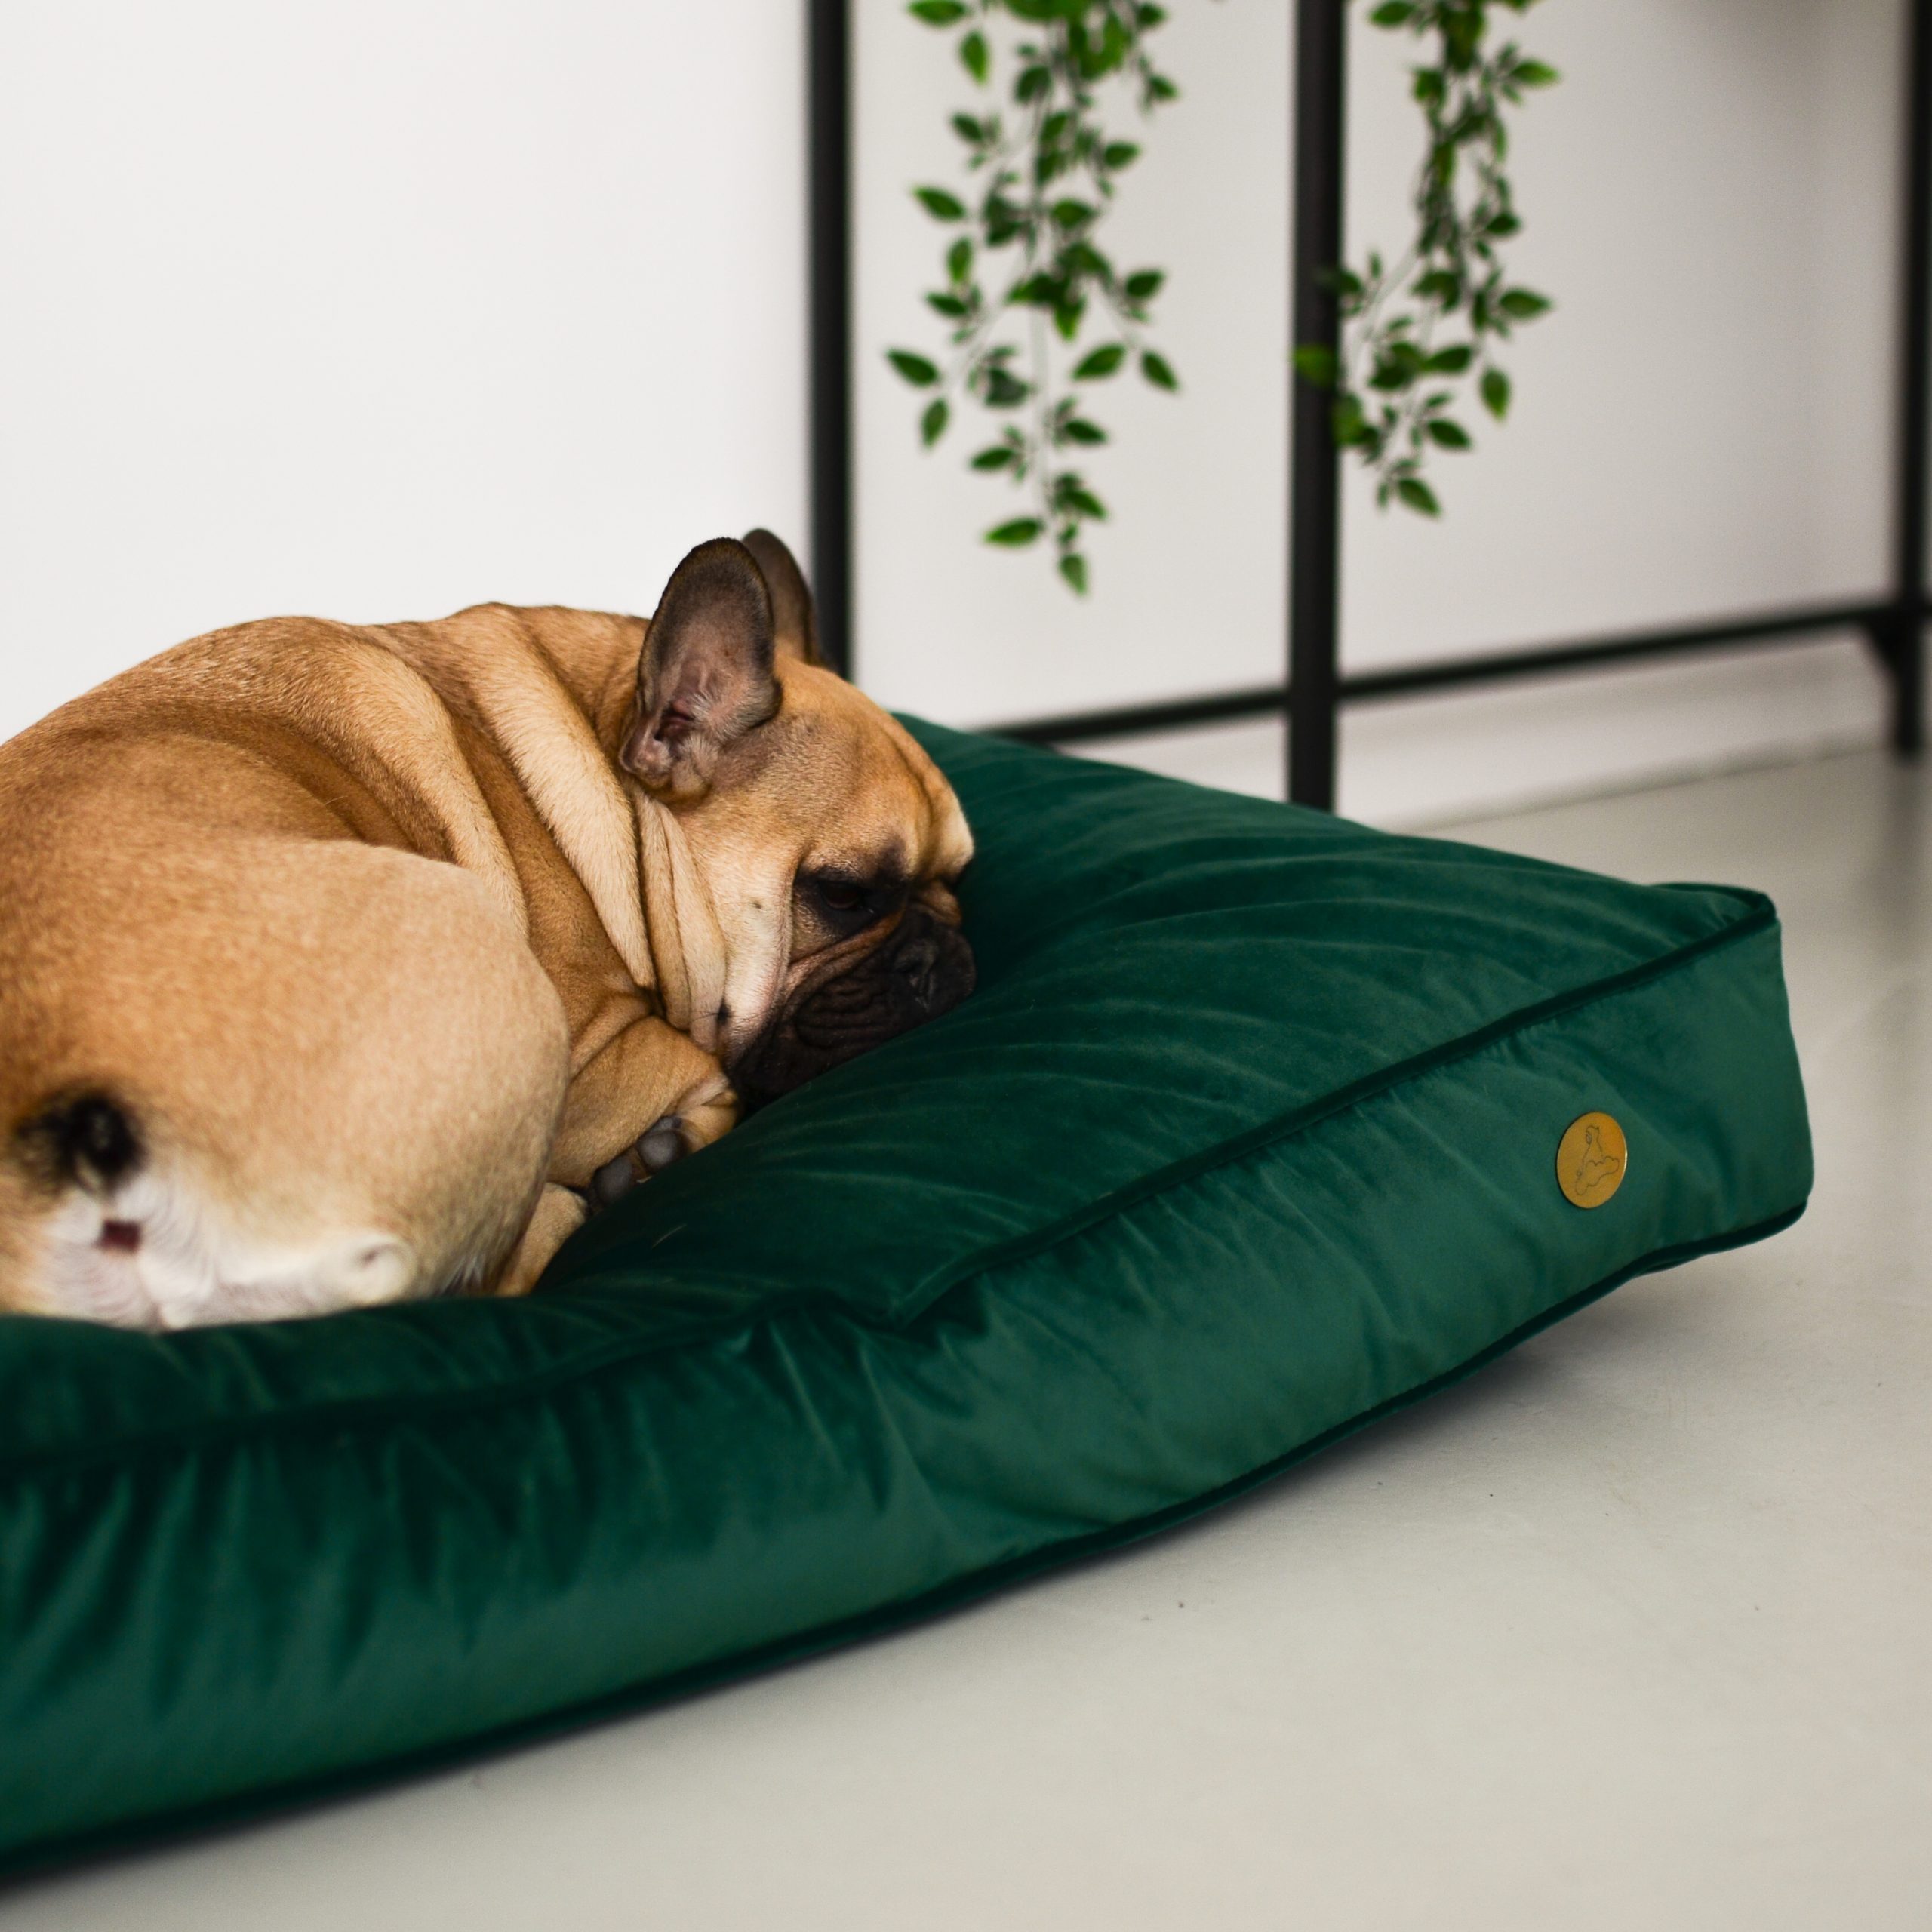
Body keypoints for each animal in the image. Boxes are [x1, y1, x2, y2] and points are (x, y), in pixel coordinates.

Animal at [0, 531, 974, 1328]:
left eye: (961, 875)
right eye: (843, 893)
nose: (942, 955)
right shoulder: (593, 1049)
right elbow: (700, 1067)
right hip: (492, 962)